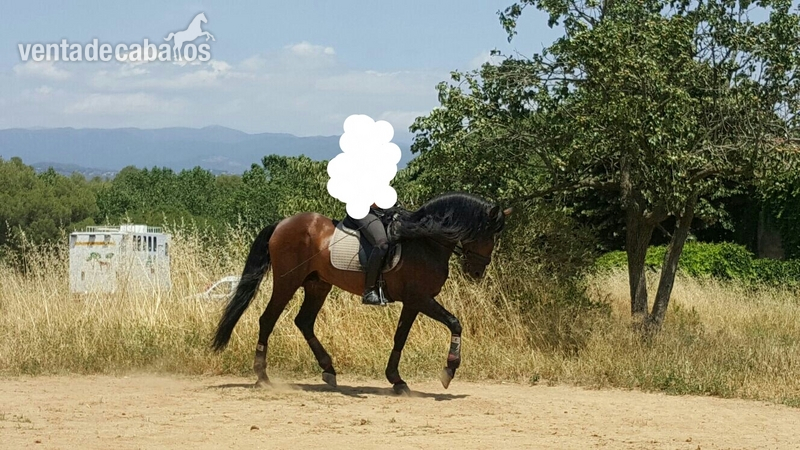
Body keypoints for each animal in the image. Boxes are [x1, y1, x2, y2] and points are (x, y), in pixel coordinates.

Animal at [211, 192, 512, 394]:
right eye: (487, 234)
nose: (477, 272)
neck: (426, 241)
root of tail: (282, 224)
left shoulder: (413, 302)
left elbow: (400, 337)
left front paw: (397, 380)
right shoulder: (420, 298)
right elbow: (454, 323)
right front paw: (449, 370)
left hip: (317, 284)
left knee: (304, 321)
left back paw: (328, 370)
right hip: (287, 281)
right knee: (268, 319)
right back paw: (262, 376)